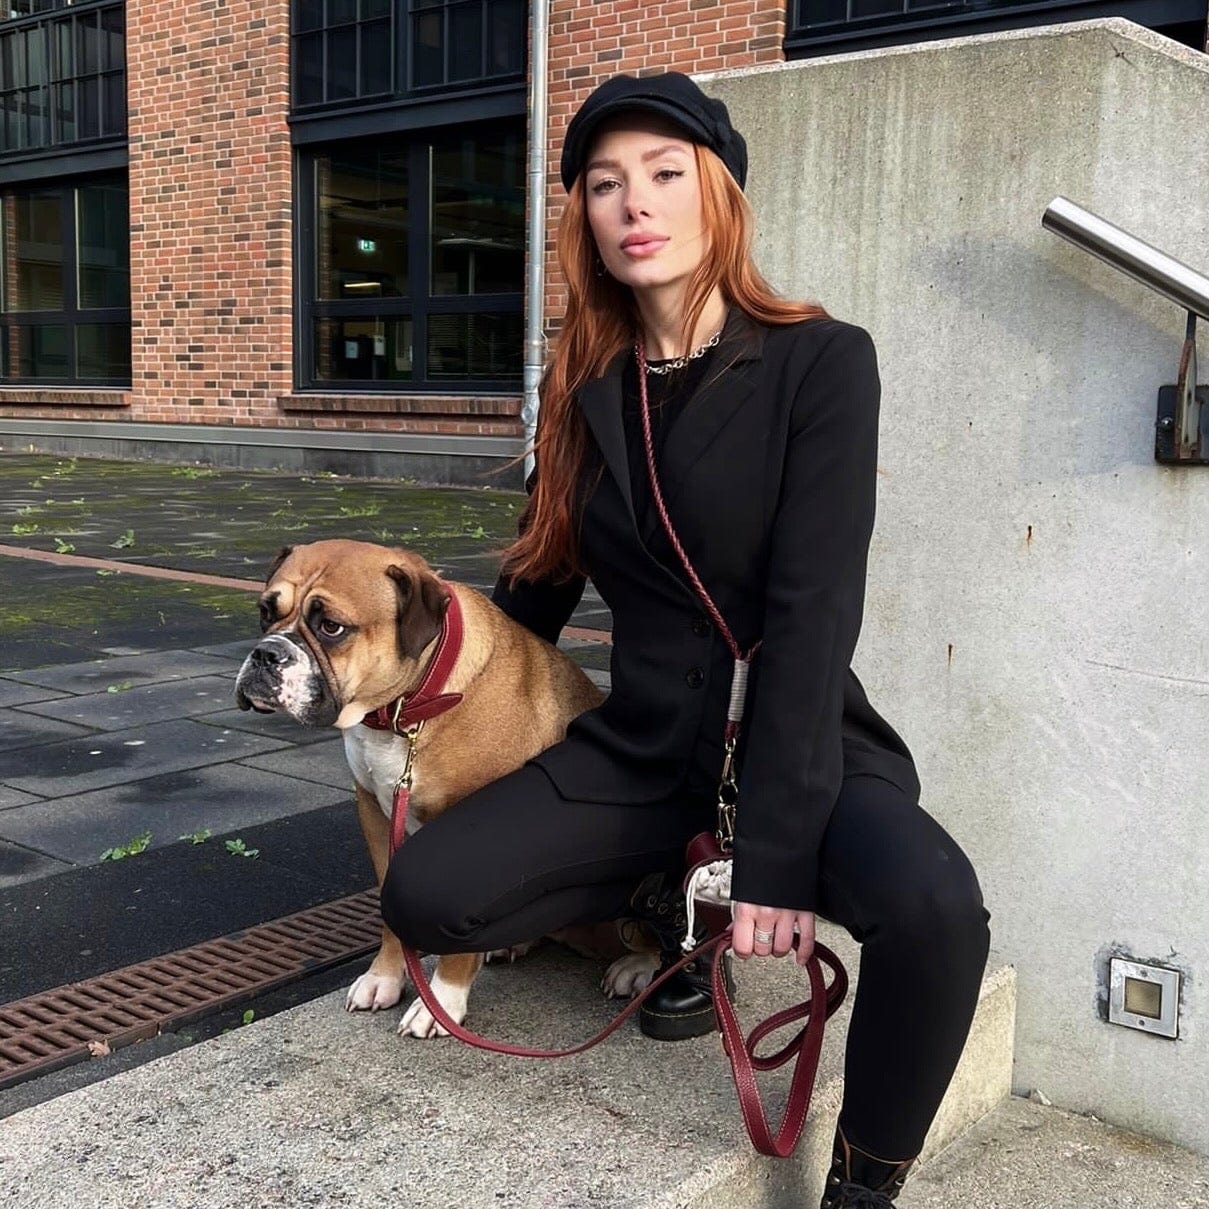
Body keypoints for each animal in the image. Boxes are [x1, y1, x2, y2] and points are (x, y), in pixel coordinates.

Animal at [233, 541, 623, 1039]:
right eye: (266, 612)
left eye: (331, 627)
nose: (266, 653)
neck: (405, 710)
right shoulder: (375, 816)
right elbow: (388, 910)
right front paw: (384, 978)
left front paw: (441, 1001)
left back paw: (637, 970)